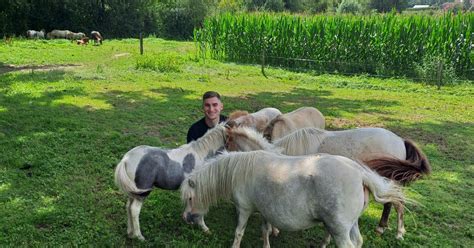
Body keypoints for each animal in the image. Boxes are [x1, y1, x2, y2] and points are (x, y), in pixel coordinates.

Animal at [181, 150, 408, 247]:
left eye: (190, 199)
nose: (186, 218)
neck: (239, 170)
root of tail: (359, 173)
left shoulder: (244, 209)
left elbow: (239, 233)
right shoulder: (264, 210)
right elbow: (265, 231)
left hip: (339, 229)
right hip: (351, 224)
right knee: (358, 241)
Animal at [224, 127, 432, 239]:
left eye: (226, 143)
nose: (222, 155)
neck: (281, 157)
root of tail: (400, 140)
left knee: (397, 204)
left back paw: (398, 232)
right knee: (392, 203)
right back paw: (383, 227)